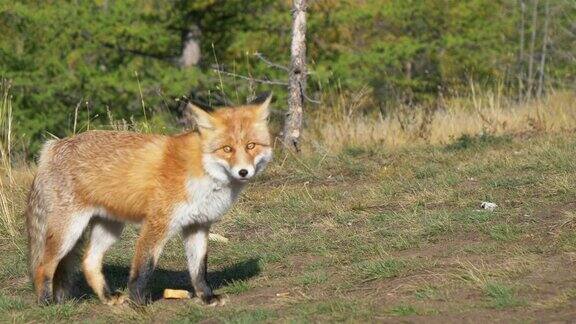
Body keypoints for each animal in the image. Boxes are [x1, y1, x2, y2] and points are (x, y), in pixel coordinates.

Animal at [24, 97, 272, 306]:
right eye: (227, 149)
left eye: (251, 146)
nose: (243, 172)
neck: (202, 171)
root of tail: (52, 146)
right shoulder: (157, 223)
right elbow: (144, 267)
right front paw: (138, 304)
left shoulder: (198, 225)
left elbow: (199, 269)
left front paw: (207, 297)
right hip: (69, 232)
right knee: (43, 266)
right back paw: (46, 302)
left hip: (109, 229)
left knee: (88, 262)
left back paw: (107, 297)